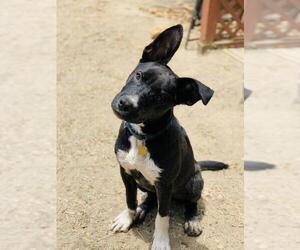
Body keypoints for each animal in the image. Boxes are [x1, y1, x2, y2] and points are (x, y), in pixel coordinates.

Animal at [110, 23, 227, 250]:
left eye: (161, 97)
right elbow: (130, 199)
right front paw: (128, 217)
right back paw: (142, 209)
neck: (142, 136)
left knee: (191, 203)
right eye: (139, 75)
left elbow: (163, 216)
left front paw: (161, 241)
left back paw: (192, 220)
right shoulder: (126, 172)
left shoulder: (165, 185)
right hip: (144, 182)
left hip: (194, 182)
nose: (125, 104)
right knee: (149, 197)